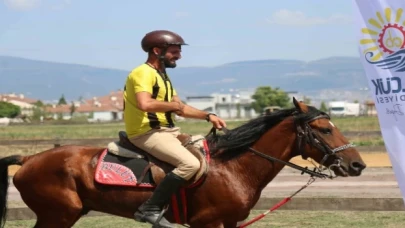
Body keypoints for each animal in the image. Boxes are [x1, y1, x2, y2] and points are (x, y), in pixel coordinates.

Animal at [0, 99, 366, 227]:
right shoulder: (209, 224)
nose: (357, 166)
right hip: (58, 215)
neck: (234, 166)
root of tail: (30, 158)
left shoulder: (228, 223)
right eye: (324, 129)